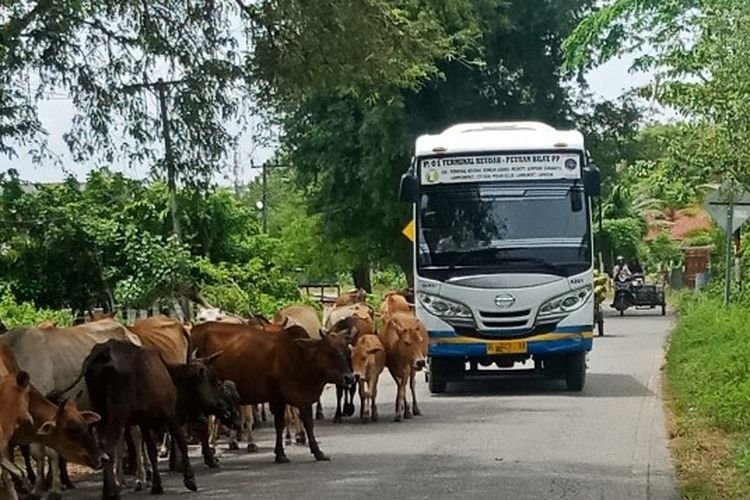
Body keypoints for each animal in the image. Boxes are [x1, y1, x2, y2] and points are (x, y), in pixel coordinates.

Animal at [188, 320, 352, 464]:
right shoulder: (282, 398)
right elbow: (284, 424)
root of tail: (193, 330)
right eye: (331, 352)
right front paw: (285, 454)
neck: (302, 357)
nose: (349, 378)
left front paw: (314, 452)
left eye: (347, 351)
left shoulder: (297, 398)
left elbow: (302, 423)